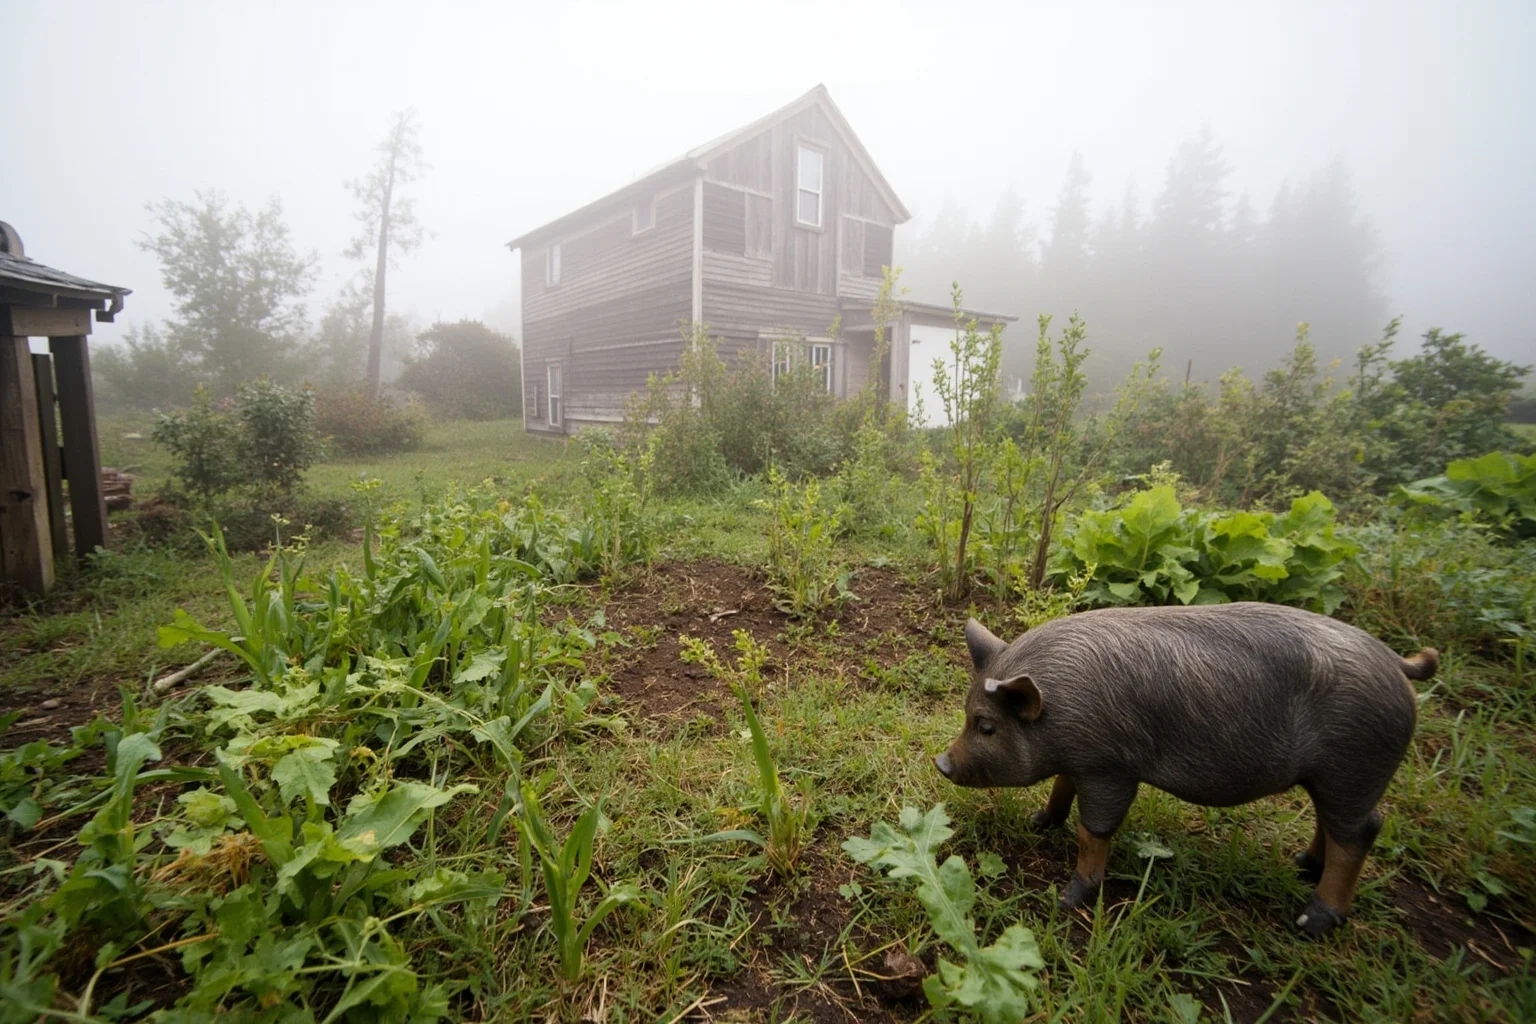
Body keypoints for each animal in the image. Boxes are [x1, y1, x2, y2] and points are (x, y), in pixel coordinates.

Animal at [934, 603, 1435, 936]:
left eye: (986, 725)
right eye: (966, 713)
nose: (941, 762)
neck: (1061, 708)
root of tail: (1395, 662)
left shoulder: (1111, 767)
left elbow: (1094, 830)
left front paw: (1067, 899)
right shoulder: (1082, 758)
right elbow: (1062, 787)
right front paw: (1039, 822)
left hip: (1354, 767)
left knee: (1362, 831)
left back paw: (1309, 922)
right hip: (1333, 776)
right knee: (1331, 823)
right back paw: (1301, 864)